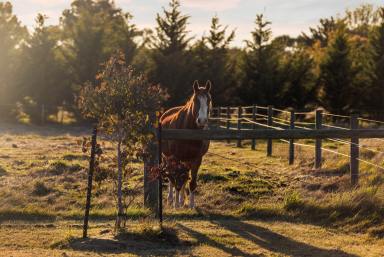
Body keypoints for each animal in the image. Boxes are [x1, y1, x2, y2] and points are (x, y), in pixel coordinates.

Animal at [160, 80, 213, 208]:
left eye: (208, 100)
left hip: (186, 161)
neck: (189, 133)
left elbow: (192, 183)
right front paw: (176, 204)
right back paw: (171, 199)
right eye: (195, 100)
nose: (202, 120)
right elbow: (176, 180)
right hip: (167, 158)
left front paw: (191, 204)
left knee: (184, 178)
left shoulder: (197, 160)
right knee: (171, 177)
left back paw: (182, 200)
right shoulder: (176, 158)